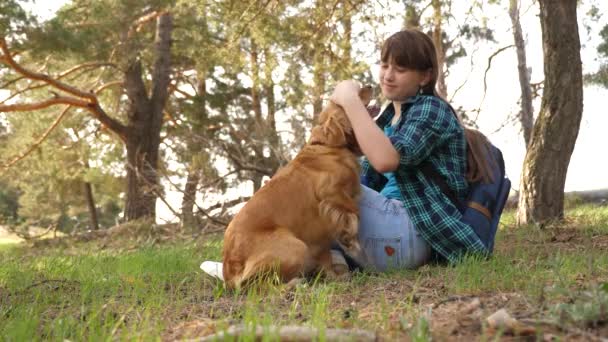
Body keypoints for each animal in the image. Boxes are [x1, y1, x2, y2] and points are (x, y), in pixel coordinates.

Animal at [221, 85, 372, 288]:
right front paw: (349, 239)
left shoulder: (320, 237)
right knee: (258, 285)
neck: (328, 146)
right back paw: (294, 284)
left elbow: (326, 256)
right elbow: (353, 211)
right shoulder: (329, 193)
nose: (369, 86)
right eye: (347, 99)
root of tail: (229, 271)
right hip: (296, 246)